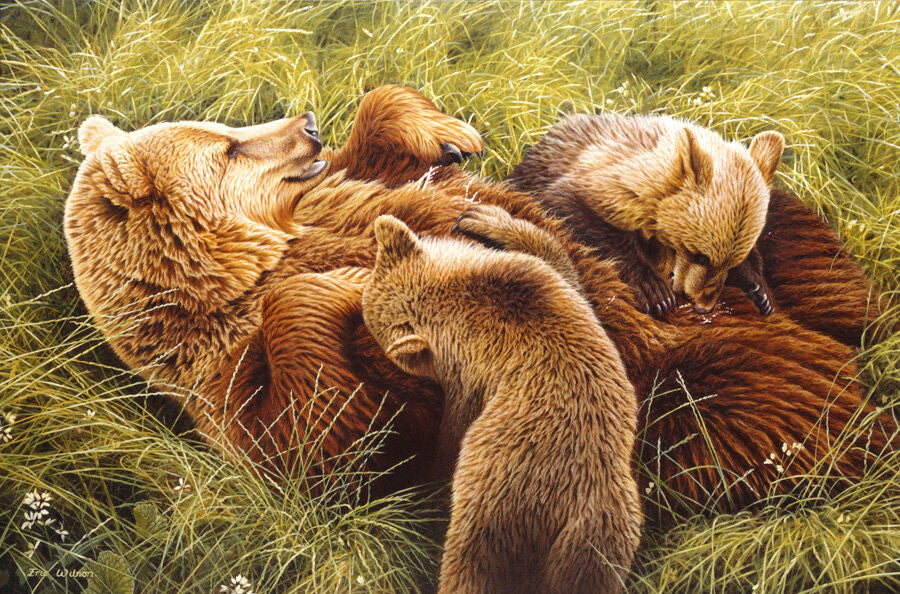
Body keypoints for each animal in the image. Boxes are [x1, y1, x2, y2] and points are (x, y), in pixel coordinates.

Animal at [363, 213, 641, 594]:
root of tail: (578, 505)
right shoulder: (544, 284)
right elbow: (562, 269)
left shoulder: (471, 374)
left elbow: (452, 434)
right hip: (609, 535)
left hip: (498, 498)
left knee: (473, 564)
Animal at [506, 113, 786, 316]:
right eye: (700, 256)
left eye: (731, 262)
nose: (703, 306)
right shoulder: (600, 181)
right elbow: (575, 208)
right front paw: (655, 290)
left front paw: (762, 291)